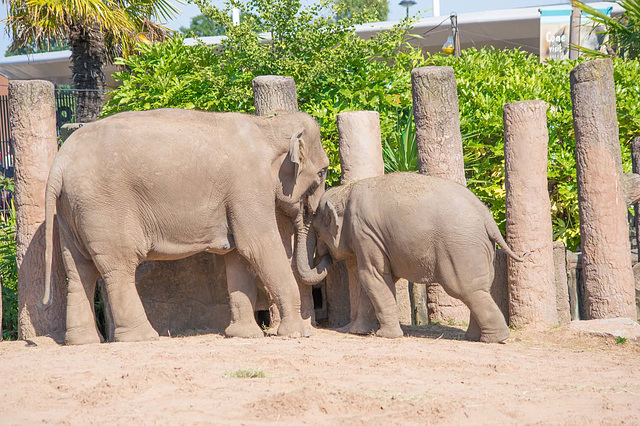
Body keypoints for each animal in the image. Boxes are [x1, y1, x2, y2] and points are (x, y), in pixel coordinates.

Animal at [42, 108, 330, 344]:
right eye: (323, 172)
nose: (326, 257)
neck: (267, 126)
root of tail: (59, 163)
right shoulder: (248, 184)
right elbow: (257, 246)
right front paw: (299, 333)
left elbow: (237, 255)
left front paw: (243, 335)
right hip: (104, 206)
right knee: (118, 266)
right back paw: (142, 337)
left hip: (70, 211)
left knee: (79, 269)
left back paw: (83, 341)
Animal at [296, 172, 524, 342]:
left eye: (317, 231)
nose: (325, 257)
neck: (347, 190)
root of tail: (488, 218)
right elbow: (376, 281)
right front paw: (358, 332)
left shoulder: (365, 233)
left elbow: (373, 276)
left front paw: (386, 336)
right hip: (481, 250)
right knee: (479, 289)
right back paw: (475, 337)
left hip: (461, 247)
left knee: (467, 289)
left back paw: (495, 339)